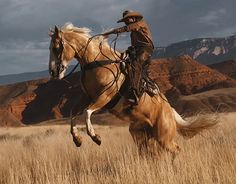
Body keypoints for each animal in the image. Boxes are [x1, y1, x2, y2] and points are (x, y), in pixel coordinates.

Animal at [48, 23, 218, 155]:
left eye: (56, 48)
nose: (53, 72)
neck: (96, 61)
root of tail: (170, 110)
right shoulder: (87, 96)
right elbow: (74, 112)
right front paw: (77, 139)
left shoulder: (105, 95)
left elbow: (87, 112)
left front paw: (96, 137)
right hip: (141, 136)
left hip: (164, 137)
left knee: (176, 150)